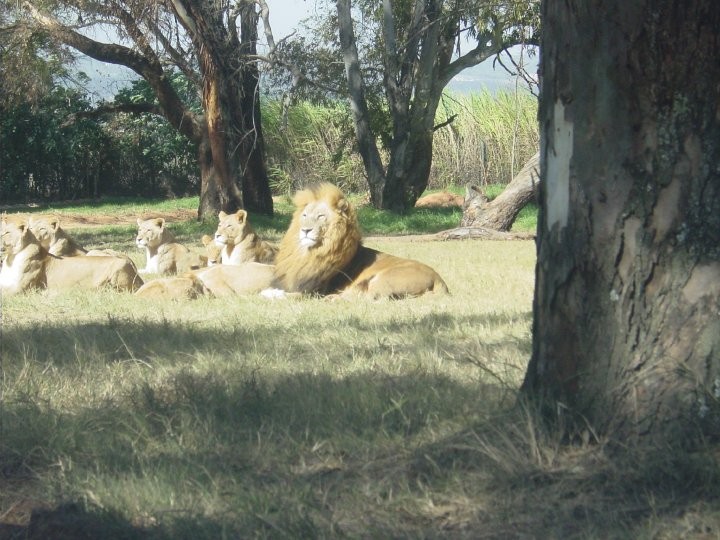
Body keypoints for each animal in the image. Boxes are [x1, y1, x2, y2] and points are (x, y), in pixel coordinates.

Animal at [265, 183, 449, 299]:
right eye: (304, 216)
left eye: (321, 216)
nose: (305, 230)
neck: (309, 254)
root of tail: (439, 279)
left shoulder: (313, 291)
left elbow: (292, 296)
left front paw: (272, 295)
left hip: (383, 279)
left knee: (371, 299)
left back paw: (335, 298)